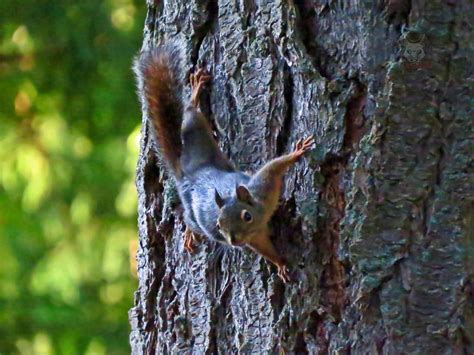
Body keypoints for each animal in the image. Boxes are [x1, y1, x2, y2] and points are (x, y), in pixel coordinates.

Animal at [132, 45, 314, 284]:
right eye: (219, 225)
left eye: (246, 216)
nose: (234, 241)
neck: (261, 214)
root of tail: (188, 174)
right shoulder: (254, 236)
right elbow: (265, 249)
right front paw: (280, 264)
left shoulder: (263, 185)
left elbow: (275, 166)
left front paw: (298, 152)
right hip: (194, 199)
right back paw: (190, 233)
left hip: (197, 137)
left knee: (190, 113)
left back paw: (196, 89)